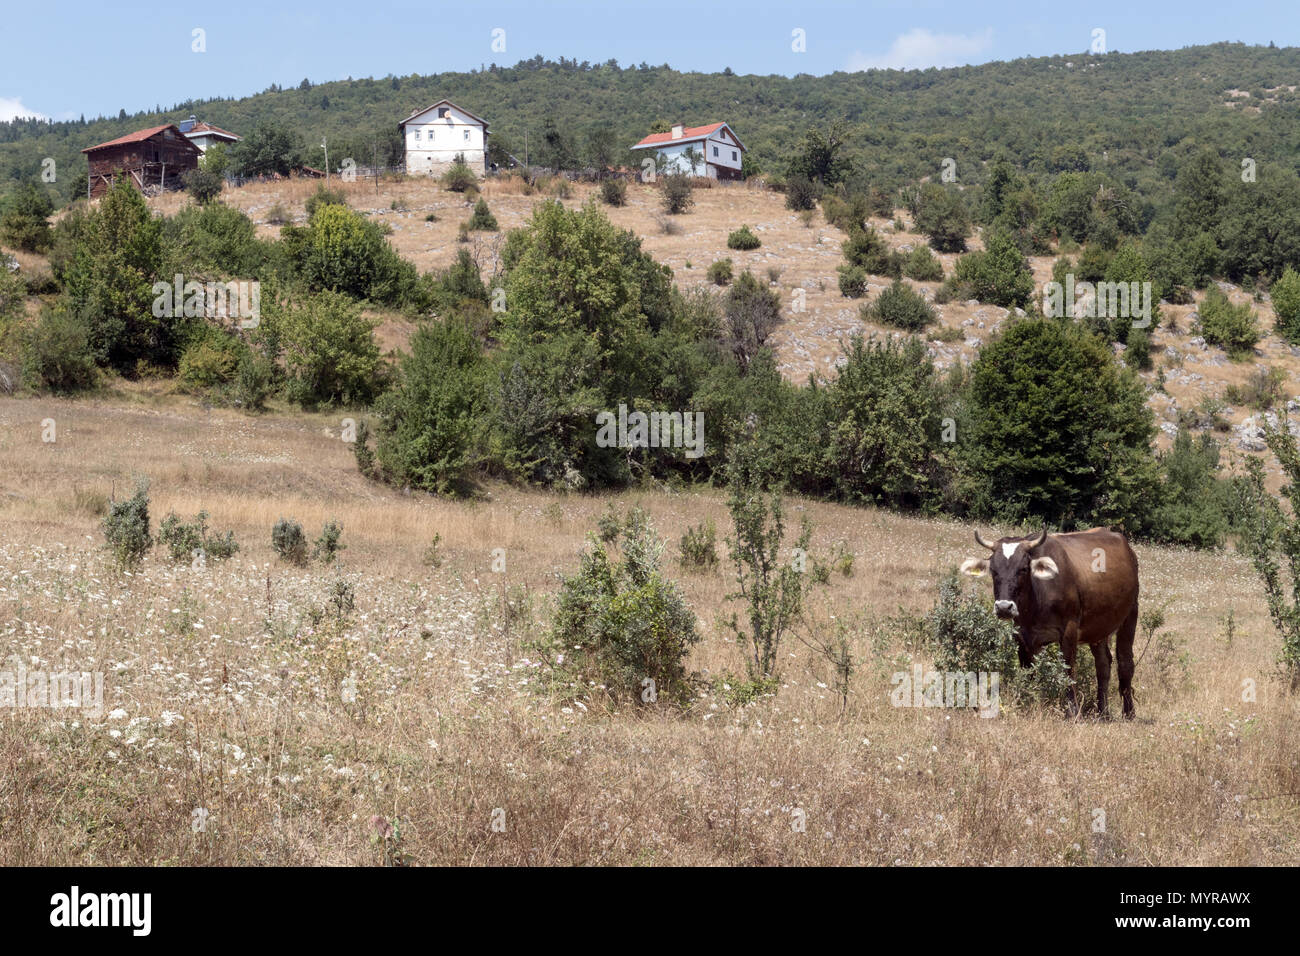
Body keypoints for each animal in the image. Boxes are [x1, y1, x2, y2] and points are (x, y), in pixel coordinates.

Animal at [961, 530, 1144, 717]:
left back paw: (1129, 712)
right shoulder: (1023, 636)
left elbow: (1067, 669)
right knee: (1103, 665)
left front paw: (1072, 711)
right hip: (1099, 628)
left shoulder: (1069, 630)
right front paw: (1026, 702)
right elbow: (1029, 671)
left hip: (1130, 615)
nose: (1004, 607)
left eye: (1023, 569)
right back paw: (1103, 712)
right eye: (993, 570)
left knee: (1125, 663)